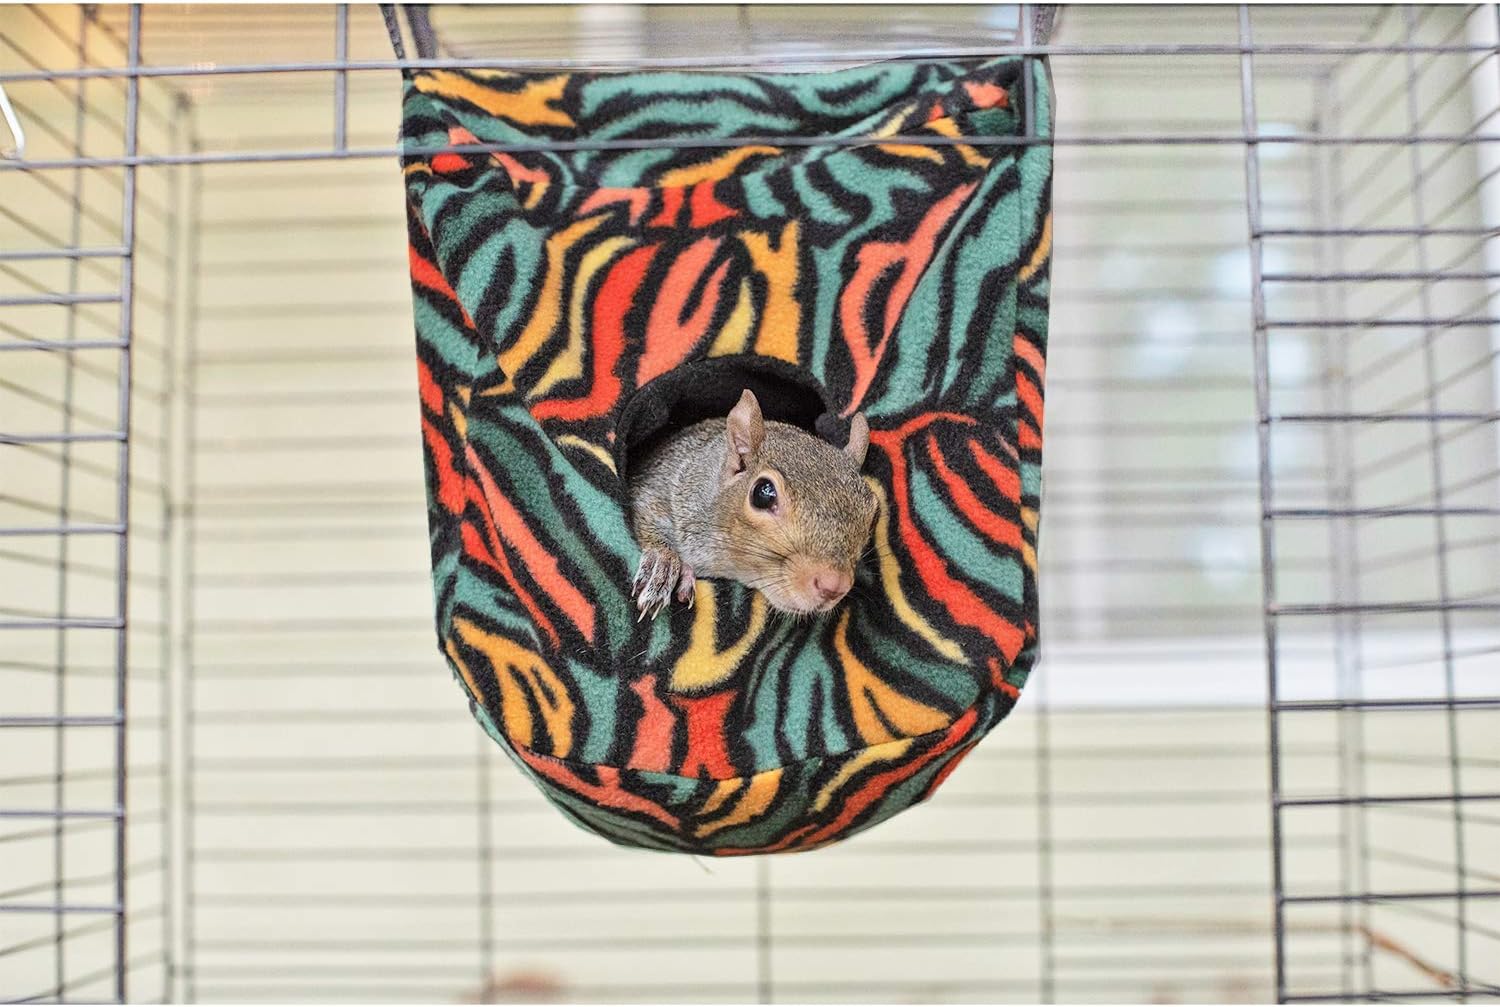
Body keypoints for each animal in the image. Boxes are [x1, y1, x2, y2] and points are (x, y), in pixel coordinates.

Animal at [627, 389, 878, 619]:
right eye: (763, 494)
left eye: (874, 514)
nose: (834, 585)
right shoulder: (657, 486)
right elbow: (646, 511)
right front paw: (663, 563)